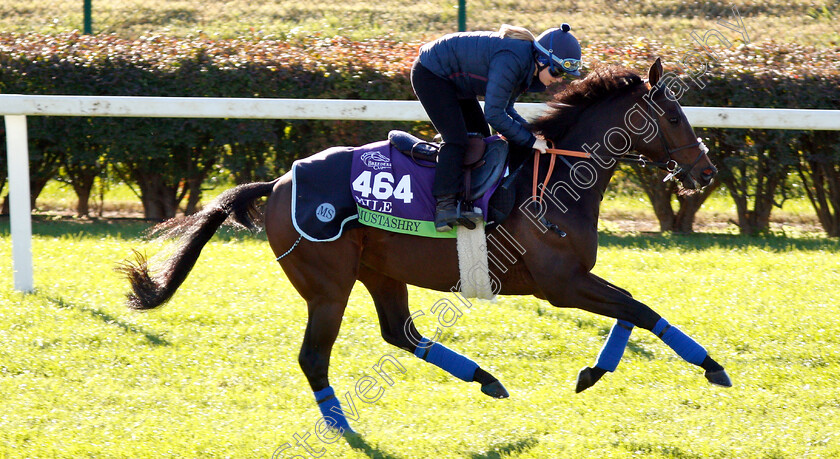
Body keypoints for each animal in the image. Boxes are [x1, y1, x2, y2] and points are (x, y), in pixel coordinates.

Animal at [121, 59, 732, 434]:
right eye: (673, 116)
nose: (705, 172)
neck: (557, 176)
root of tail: (277, 183)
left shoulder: (574, 279)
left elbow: (632, 307)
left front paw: (593, 372)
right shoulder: (561, 284)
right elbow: (642, 309)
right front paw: (712, 366)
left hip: (380, 270)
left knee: (400, 333)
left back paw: (486, 379)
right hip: (328, 287)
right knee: (315, 357)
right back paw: (340, 424)